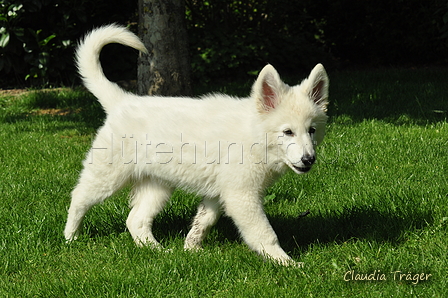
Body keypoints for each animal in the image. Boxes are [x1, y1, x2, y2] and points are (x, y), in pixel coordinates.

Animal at [64, 23, 328, 266]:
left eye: (311, 130)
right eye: (287, 132)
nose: (308, 159)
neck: (254, 135)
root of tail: (122, 101)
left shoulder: (218, 192)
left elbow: (204, 220)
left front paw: (191, 248)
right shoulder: (241, 195)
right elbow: (264, 233)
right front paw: (286, 262)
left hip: (157, 184)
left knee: (136, 220)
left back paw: (158, 250)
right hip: (108, 175)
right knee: (79, 197)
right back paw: (70, 237)